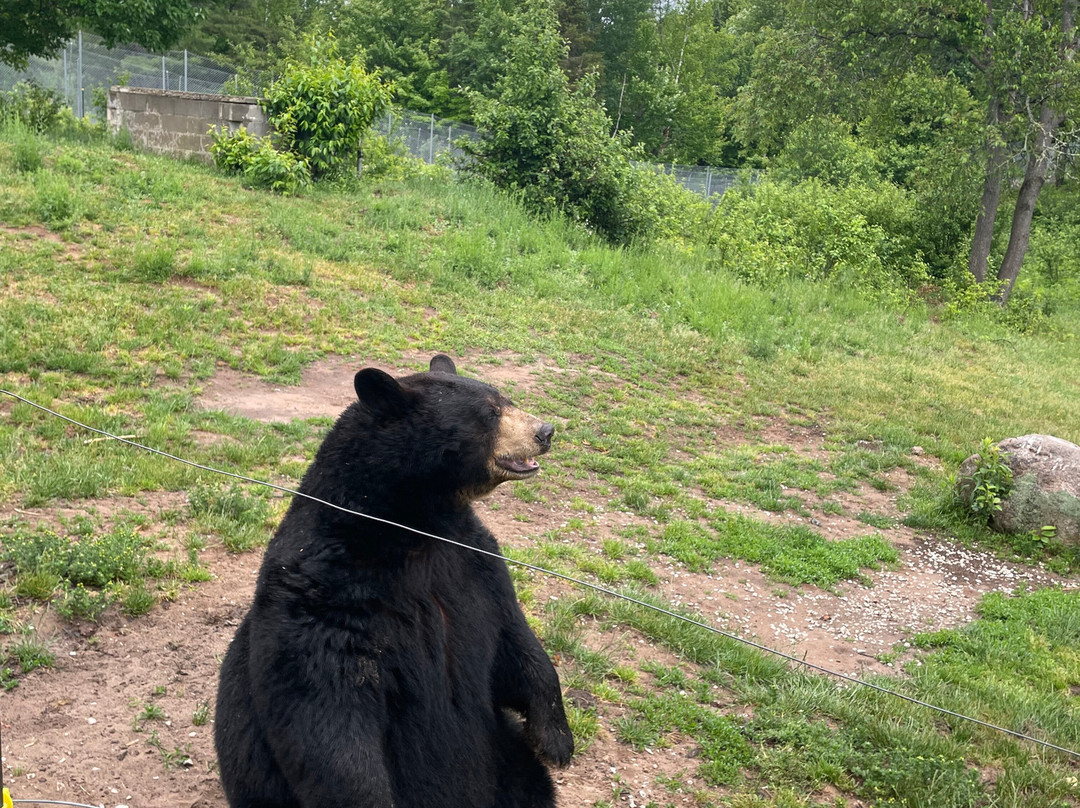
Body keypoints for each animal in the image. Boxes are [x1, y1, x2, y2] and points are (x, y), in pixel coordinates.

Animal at [214, 354, 574, 808]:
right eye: (489, 413)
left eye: (505, 398)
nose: (546, 431)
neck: (413, 531)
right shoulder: (323, 597)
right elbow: (327, 716)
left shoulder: (473, 562)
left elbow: (514, 638)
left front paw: (555, 739)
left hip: (507, 759)